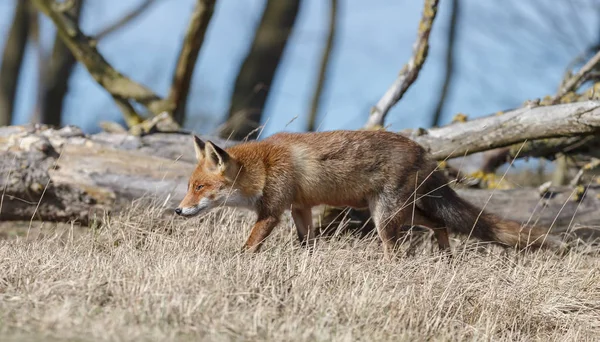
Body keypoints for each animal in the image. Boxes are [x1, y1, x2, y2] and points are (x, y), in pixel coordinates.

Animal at [175, 130, 568, 258]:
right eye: (189, 187)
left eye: (199, 188)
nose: (179, 211)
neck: (265, 167)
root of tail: (425, 152)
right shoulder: (300, 208)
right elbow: (307, 243)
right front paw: (307, 261)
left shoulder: (272, 212)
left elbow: (247, 247)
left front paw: (235, 262)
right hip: (402, 211)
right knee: (440, 223)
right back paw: (446, 258)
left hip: (385, 217)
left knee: (399, 250)